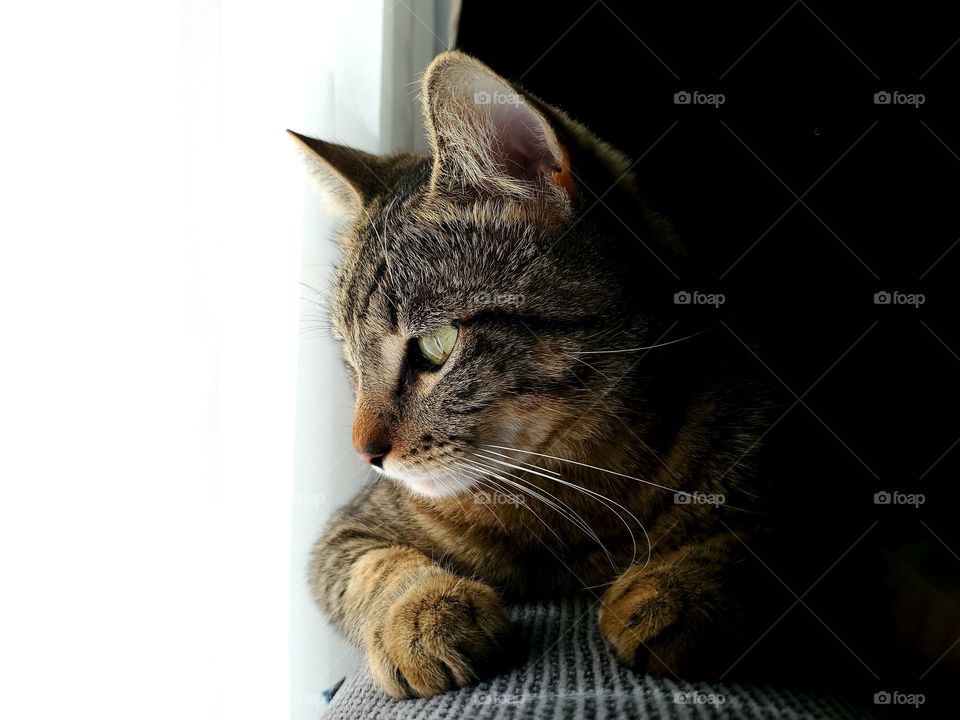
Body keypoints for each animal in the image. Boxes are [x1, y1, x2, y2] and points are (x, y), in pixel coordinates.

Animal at [288, 50, 768, 696]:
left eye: (436, 345)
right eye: (350, 359)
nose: (367, 454)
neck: (573, 490)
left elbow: (745, 537)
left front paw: (683, 588)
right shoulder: (348, 532)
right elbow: (375, 567)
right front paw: (420, 612)